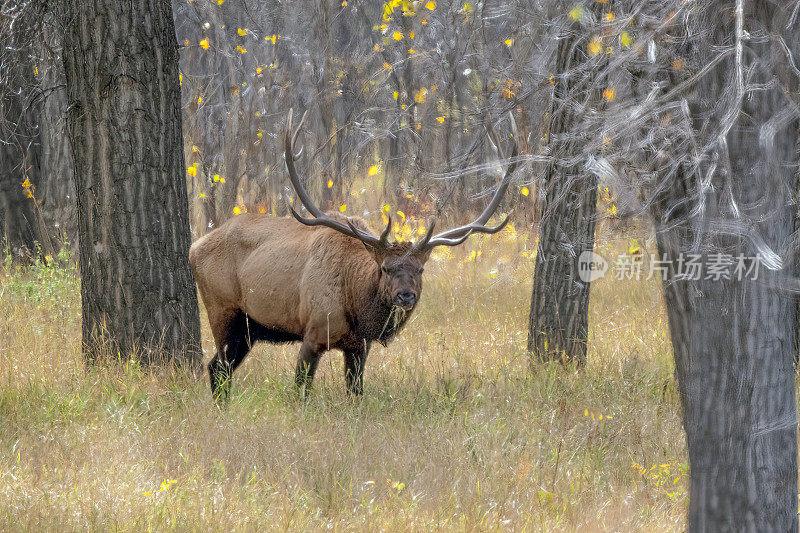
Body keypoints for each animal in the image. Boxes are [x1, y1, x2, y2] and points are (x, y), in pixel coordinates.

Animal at [192, 109, 520, 400]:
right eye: (385, 268)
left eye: (420, 269)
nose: (405, 296)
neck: (356, 308)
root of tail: (194, 248)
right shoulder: (313, 332)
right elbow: (300, 390)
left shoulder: (359, 346)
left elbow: (355, 392)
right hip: (223, 310)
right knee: (218, 367)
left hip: (249, 329)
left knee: (218, 368)